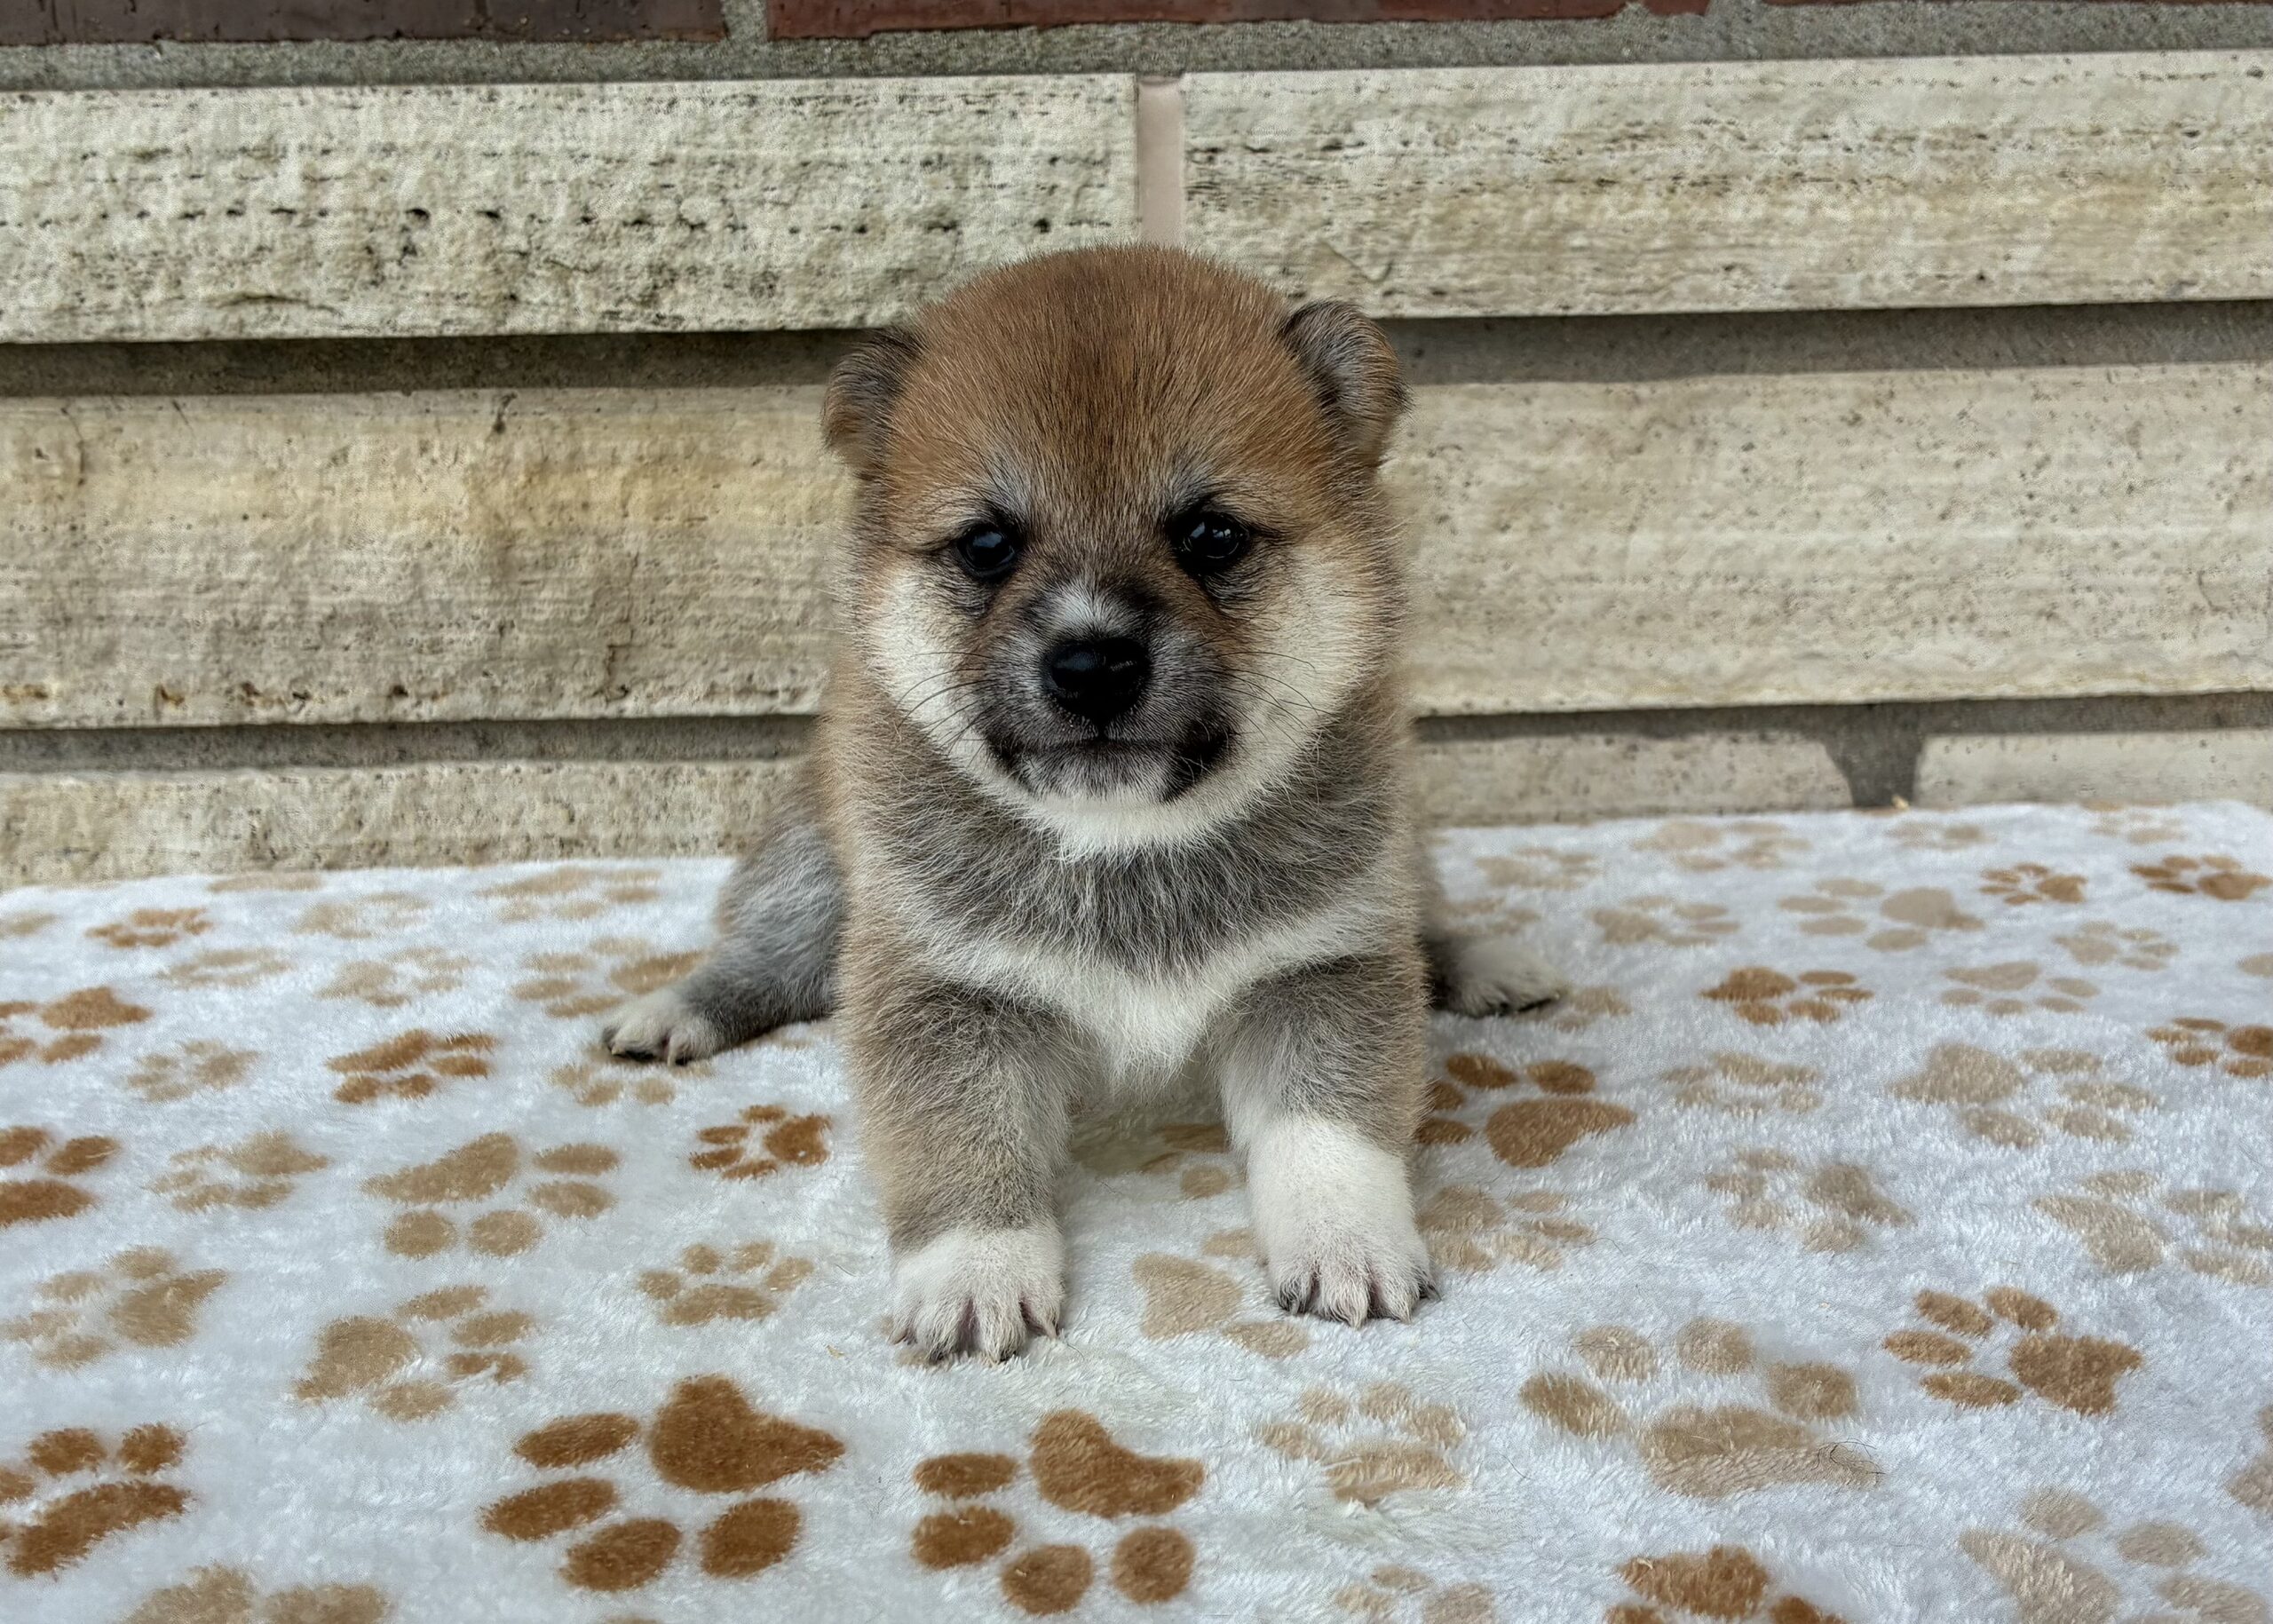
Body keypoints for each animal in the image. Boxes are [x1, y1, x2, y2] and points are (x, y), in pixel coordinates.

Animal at [603, 247, 1564, 1359]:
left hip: (1398, 852)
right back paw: (678, 1008)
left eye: (1210, 534)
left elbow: (1329, 1130)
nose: (1092, 664)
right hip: (811, 872)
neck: (1126, 844)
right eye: (986, 545)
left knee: (1427, 922)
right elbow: (960, 1142)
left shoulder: (1324, 965)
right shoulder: (943, 991)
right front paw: (975, 1269)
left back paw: (1484, 962)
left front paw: (1345, 1240)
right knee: (770, 957)